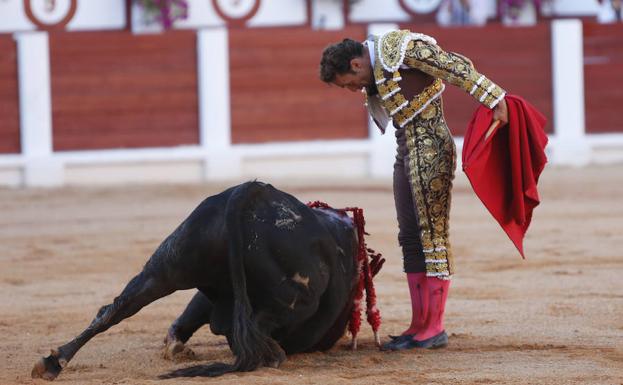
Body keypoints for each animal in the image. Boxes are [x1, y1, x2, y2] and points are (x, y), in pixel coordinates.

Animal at [34, 181, 388, 378]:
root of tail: (253, 193)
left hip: (171, 259)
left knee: (116, 307)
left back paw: (53, 362)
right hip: (295, 298)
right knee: (260, 335)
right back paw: (271, 356)